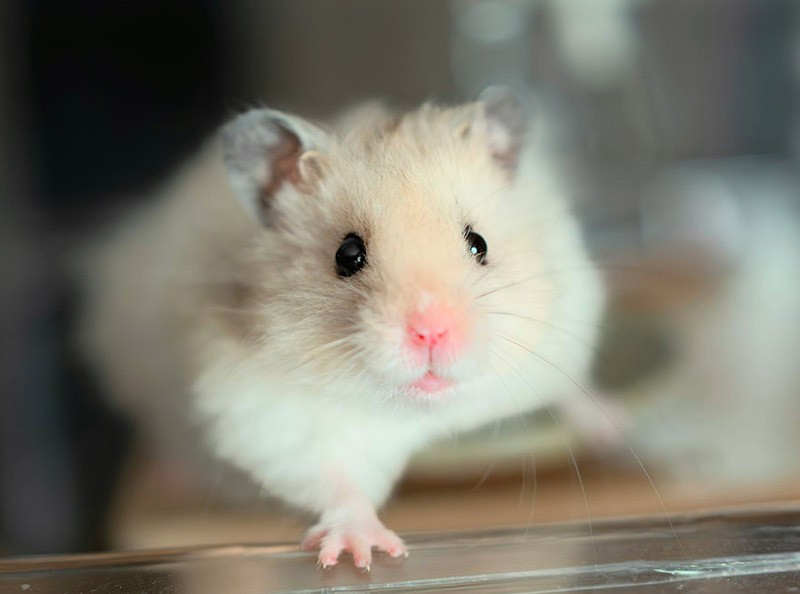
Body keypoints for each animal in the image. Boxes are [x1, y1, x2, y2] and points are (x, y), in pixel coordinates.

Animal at [80, 88, 604, 569]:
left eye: (479, 243)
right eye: (347, 255)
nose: (431, 333)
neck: (422, 411)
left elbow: (571, 390)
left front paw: (609, 428)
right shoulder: (268, 416)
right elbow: (336, 480)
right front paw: (362, 554)